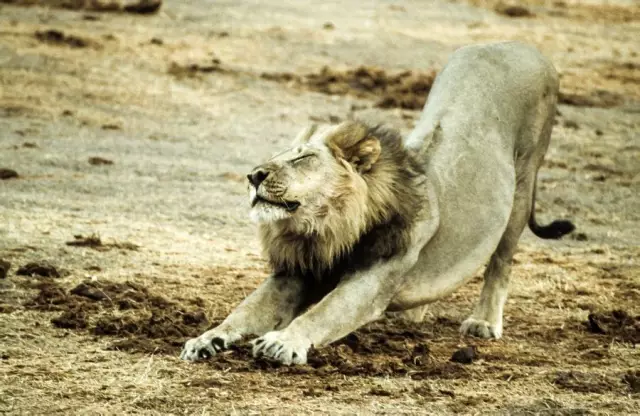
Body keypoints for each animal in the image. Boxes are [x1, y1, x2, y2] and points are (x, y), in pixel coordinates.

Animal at [180, 39, 576, 364]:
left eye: (301, 158)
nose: (254, 175)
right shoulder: (297, 271)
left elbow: (324, 313)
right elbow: (246, 310)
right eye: (277, 156)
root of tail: (519, 45)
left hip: (522, 185)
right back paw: (411, 315)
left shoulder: (371, 280)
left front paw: (283, 342)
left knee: (501, 262)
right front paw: (207, 338)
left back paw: (483, 322)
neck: (327, 228)